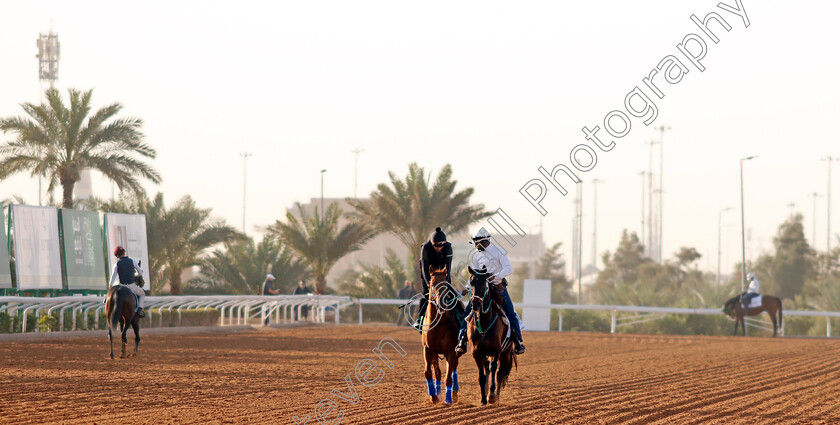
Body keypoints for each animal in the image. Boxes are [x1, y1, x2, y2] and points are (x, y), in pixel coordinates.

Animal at [424, 264, 462, 404]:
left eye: (445, 284)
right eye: (432, 283)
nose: (441, 302)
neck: (438, 324)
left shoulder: (451, 351)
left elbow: (448, 377)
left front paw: (448, 400)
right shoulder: (428, 349)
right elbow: (429, 372)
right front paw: (434, 396)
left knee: (453, 370)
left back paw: (454, 394)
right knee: (438, 372)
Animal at [462, 266, 516, 406]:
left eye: (483, 283)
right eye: (471, 283)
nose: (475, 304)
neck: (485, 322)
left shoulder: (497, 351)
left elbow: (495, 369)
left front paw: (491, 396)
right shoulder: (476, 352)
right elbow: (482, 376)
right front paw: (483, 400)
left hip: (506, 353)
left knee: (500, 373)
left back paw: (496, 397)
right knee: (487, 369)